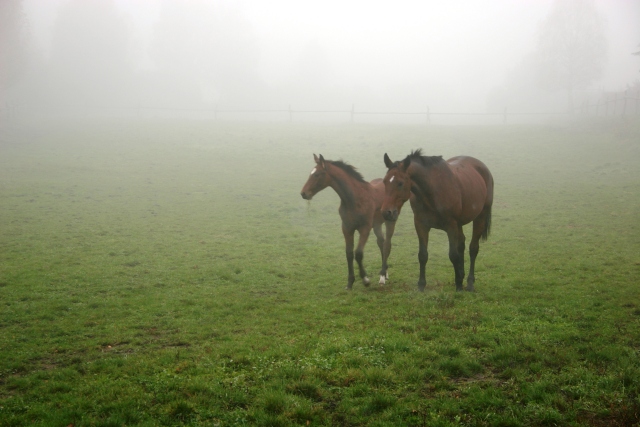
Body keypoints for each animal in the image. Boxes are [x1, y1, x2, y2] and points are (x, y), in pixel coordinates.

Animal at [298, 154, 398, 290]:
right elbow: (349, 254)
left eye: (317, 174)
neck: (354, 199)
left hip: (390, 221)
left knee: (387, 244)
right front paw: (350, 282)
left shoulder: (365, 228)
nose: (304, 193)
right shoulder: (347, 228)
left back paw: (382, 276)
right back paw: (385, 273)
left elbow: (358, 253)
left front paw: (365, 280)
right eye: (311, 173)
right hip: (377, 224)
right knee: (381, 243)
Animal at [380, 149, 496, 292]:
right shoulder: (421, 225)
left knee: (473, 248)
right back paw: (461, 275)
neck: (432, 191)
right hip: (459, 224)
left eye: (400, 183)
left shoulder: (451, 226)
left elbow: (453, 255)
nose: (386, 212)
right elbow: (423, 255)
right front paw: (421, 286)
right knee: (461, 244)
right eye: (385, 182)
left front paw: (458, 285)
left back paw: (469, 283)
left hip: (480, 218)